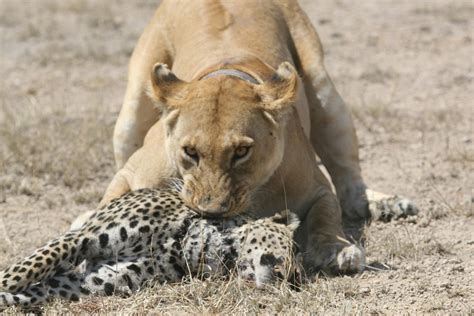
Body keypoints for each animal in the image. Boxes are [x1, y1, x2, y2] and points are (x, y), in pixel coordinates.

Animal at [0, 189, 300, 308]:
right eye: (288, 252)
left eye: (293, 278)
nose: (288, 280)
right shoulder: (82, 238)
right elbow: (19, 273)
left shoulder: (80, 286)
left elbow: (22, 294)